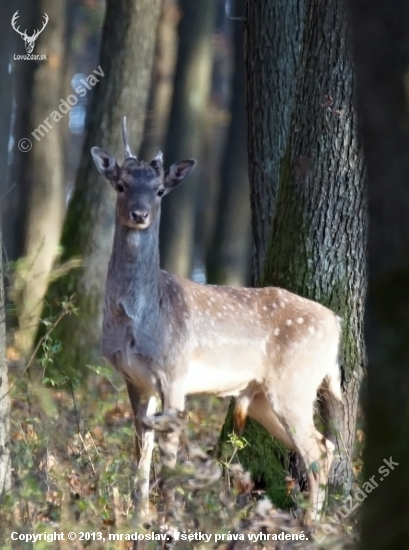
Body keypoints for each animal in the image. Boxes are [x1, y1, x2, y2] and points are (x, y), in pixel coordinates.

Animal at [91, 117, 342, 528]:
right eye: (121, 185)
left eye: (159, 190)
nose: (139, 215)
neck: (140, 320)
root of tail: (337, 322)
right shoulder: (134, 379)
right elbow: (141, 449)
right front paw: (137, 520)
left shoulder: (175, 373)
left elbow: (169, 455)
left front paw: (169, 521)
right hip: (262, 397)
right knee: (324, 445)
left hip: (294, 383)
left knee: (318, 450)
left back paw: (313, 526)